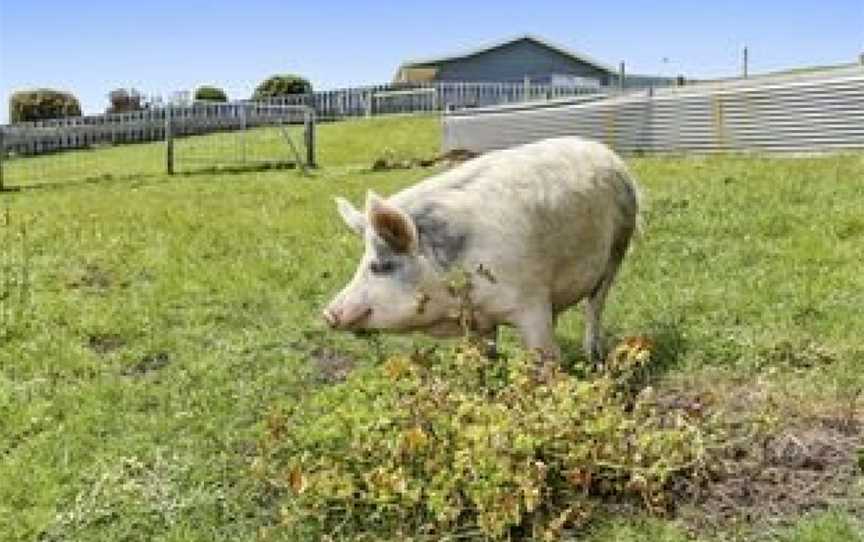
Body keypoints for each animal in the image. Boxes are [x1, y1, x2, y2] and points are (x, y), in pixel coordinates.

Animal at [320, 137, 636, 366]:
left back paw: (594, 356)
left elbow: (545, 357)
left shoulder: (530, 303)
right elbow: (486, 357)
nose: (328, 314)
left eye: (380, 266)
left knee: (595, 305)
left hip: (619, 246)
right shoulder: (479, 321)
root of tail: (607, 153)